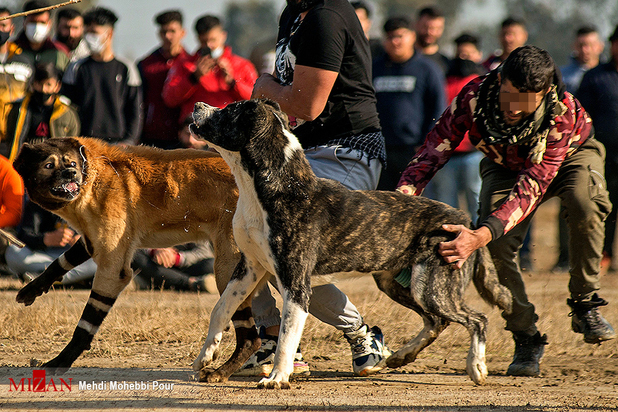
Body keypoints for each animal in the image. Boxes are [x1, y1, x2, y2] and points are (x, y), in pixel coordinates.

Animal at [13, 136, 260, 376]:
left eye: (71, 163)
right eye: (48, 165)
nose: (71, 173)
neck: (93, 176)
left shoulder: (113, 268)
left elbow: (85, 324)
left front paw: (61, 361)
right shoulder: (93, 240)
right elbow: (60, 262)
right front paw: (33, 288)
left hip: (228, 269)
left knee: (250, 339)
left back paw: (222, 371)